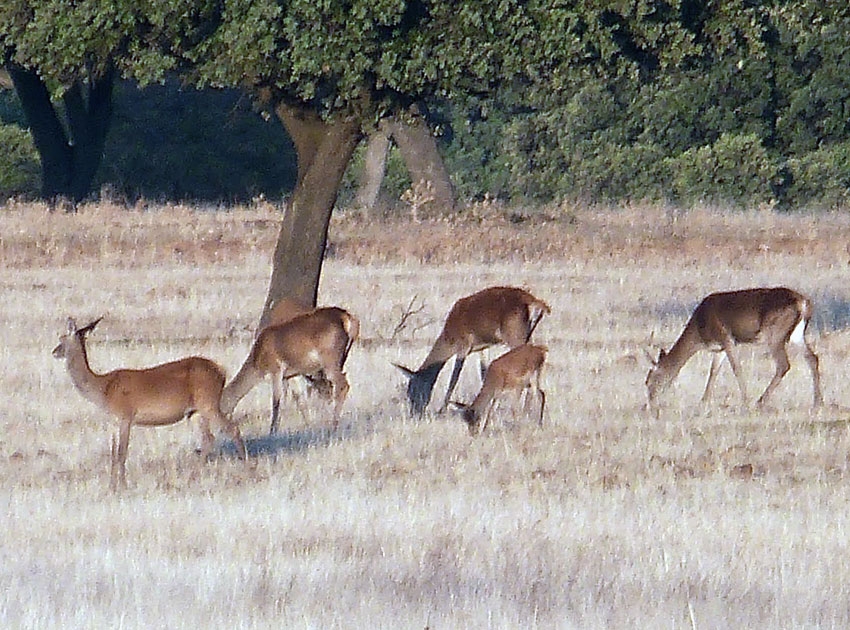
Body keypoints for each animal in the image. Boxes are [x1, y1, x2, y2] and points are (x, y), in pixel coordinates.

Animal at [53, 318, 247, 492]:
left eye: (62, 338)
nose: (54, 352)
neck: (102, 390)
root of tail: (222, 371)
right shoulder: (113, 421)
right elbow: (113, 453)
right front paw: (111, 486)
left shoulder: (126, 415)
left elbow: (122, 452)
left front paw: (123, 486)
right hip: (196, 411)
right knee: (208, 438)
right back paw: (194, 472)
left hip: (209, 402)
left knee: (232, 428)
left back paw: (244, 464)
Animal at [220, 306, 356, 434]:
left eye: (220, 404)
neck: (257, 363)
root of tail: (347, 317)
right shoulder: (291, 375)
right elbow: (299, 400)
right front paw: (309, 425)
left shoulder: (276, 370)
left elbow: (276, 401)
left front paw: (272, 432)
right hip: (341, 358)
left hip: (329, 359)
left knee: (343, 385)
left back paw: (333, 426)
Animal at [392, 286, 548, 414]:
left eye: (413, 389)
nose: (415, 413)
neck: (449, 338)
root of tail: (536, 303)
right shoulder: (483, 347)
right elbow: (483, 372)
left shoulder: (463, 346)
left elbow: (454, 378)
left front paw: (442, 410)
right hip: (529, 333)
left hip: (516, 335)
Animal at [644, 288, 820, 414]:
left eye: (650, 380)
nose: (650, 404)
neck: (699, 333)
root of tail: (804, 303)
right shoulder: (719, 348)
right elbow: (713, 371)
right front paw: (704, 401)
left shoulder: (727, 338)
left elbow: (736, 369)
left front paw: (746, 401)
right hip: (797, 334)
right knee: (813, 358)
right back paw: (818, 402)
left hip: (774, 334)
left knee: (783, 364)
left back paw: (760, 402)